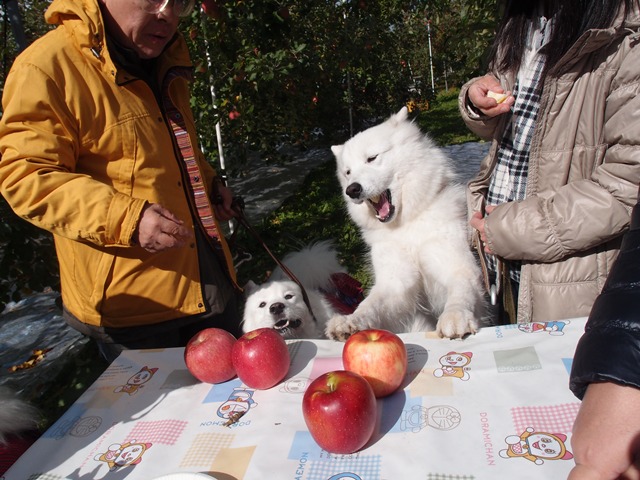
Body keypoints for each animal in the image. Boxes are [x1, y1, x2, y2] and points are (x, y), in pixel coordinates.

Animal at [328, 108, 482, 342]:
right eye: (347, 172)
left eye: (372, 158)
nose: (352, 189)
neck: (406, 224)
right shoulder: (395, 281)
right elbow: (369, 305)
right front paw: (351, 321)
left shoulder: (457, 266)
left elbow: (461, 292)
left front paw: (455, 316)